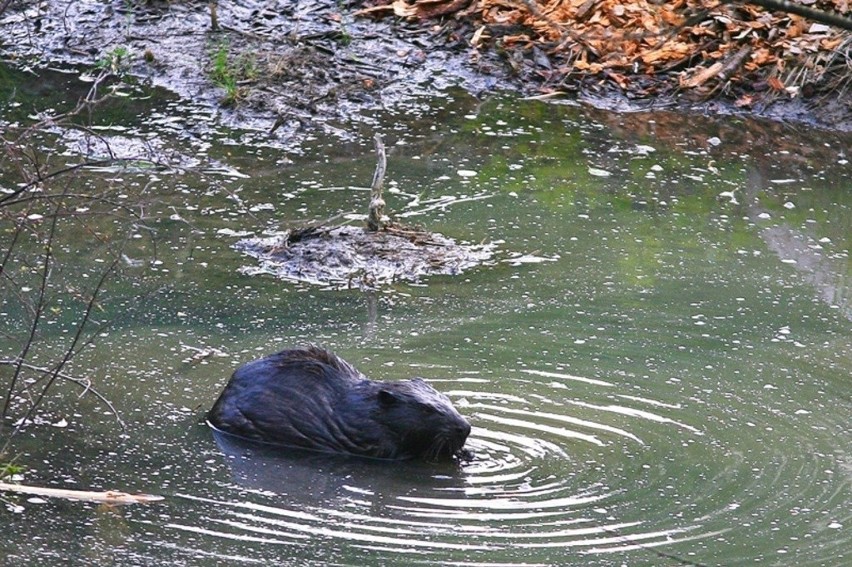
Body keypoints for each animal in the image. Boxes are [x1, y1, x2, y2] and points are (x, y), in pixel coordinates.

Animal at [208, 346, 472, 462]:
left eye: (447, 400)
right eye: (427, 409)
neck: (362, 406)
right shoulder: (372, 436)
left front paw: (467, 452)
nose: (465, 428)